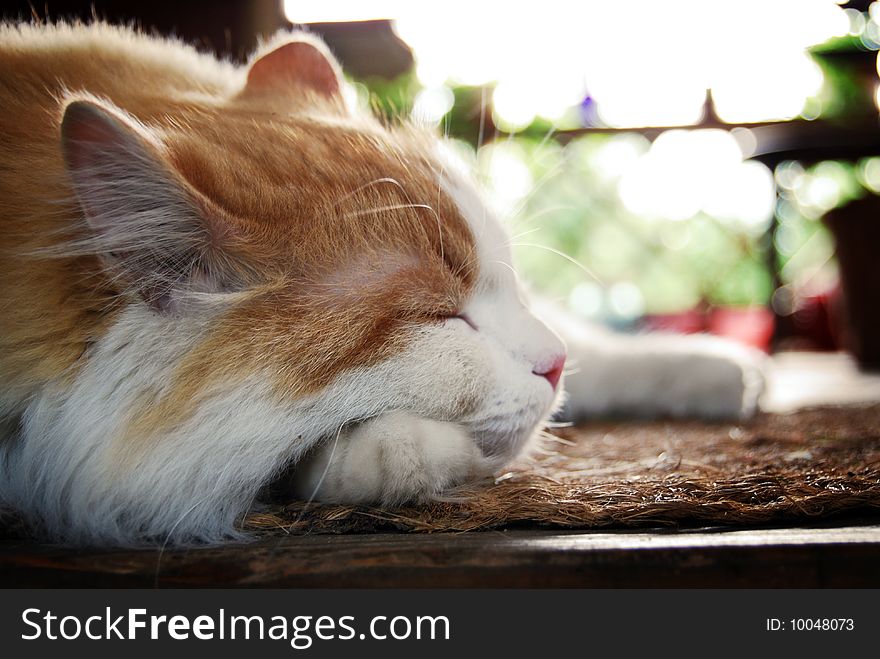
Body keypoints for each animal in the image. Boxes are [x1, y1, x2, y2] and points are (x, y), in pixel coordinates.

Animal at [0, 21, 760, 548]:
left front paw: (721, 370)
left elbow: (601, 352)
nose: (553, 364)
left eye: (505, 283)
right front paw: (430, 455)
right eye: (442, 318)